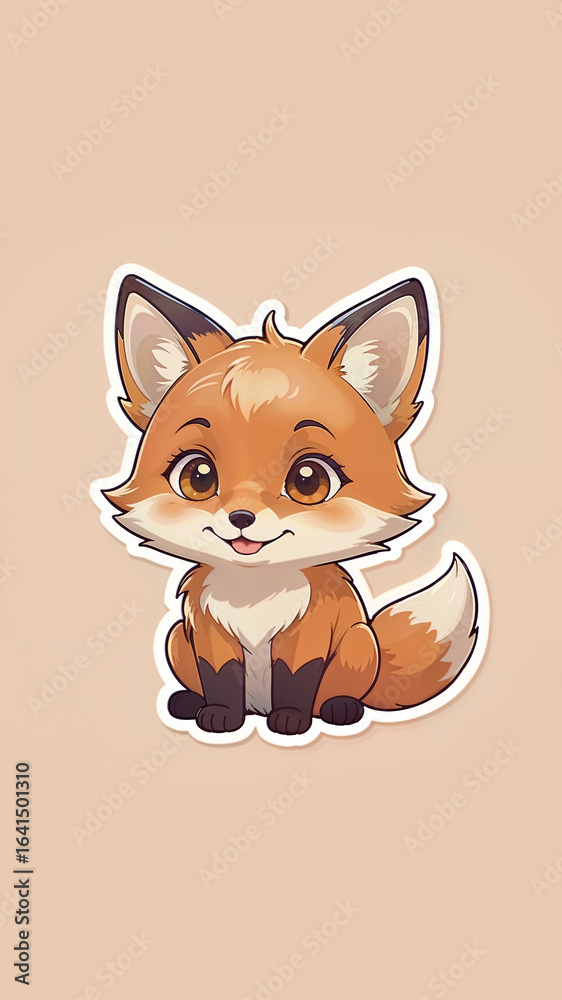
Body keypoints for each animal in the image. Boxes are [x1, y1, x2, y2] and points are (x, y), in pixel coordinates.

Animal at [93, 265, 486, 743]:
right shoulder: (208, 635)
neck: (254, 596)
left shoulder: (310, 634)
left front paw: (291, 722)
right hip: (175, 639)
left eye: (308, 480)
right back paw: (188, 702)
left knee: (339, 690)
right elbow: (220, 679)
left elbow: (297, 680)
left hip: (358, 641)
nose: (241, 517)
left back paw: (340, 708)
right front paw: (219, 716)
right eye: (198, 476)